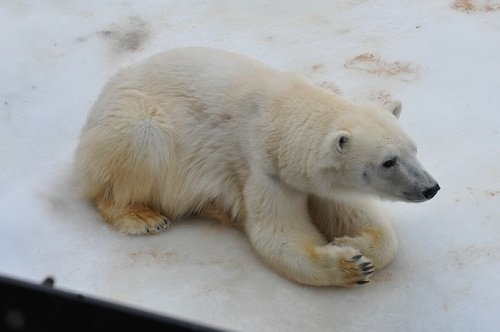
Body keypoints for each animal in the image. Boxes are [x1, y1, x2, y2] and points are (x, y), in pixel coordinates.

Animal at [74, 47, 438, 288]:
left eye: (414, 149)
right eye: (388, 161)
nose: (430, 188)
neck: (281, 112)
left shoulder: (317, 182)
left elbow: (357, 216)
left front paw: (354, 243)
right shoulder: (262, 170)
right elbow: (277, 236)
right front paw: (350, 264)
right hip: (133, 123)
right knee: (140, 141)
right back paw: (143, 217)